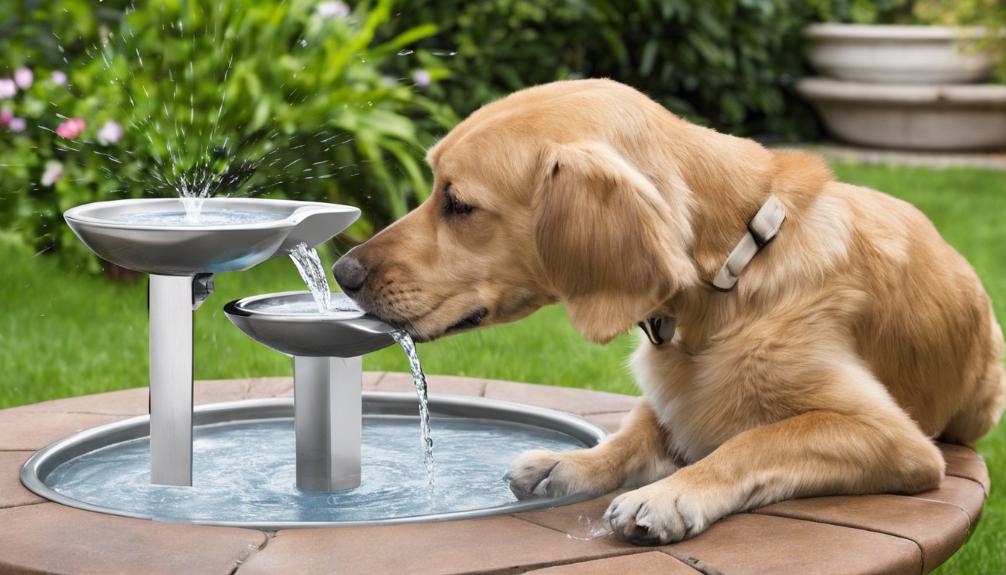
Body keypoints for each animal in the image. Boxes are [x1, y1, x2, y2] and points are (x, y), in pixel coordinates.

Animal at [333, 79, 1001, 542]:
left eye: (458, 203)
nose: (344, 273)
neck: (732, 272)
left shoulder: (894, 437)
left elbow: (754, 442)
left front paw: (667, 495)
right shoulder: (667, 392)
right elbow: (636, 430)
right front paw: (571, 461)